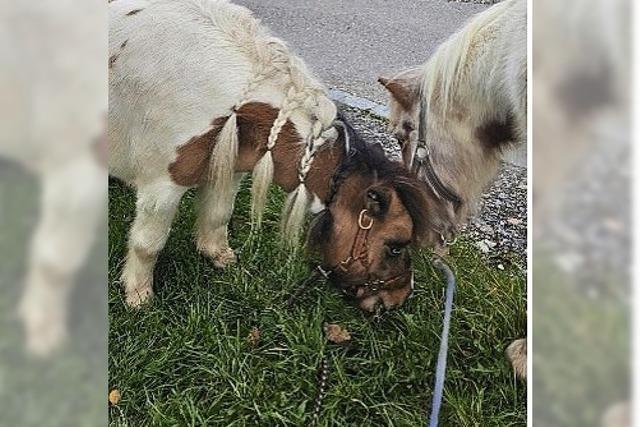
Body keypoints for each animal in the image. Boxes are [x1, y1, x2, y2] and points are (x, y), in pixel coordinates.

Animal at [109, 0, 452, 312]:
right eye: (395, 246)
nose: (399, 298)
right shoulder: (164, 186)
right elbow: (148, 244)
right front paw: (139, 296)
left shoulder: (230, 169)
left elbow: (218, 214)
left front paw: (218, 255)